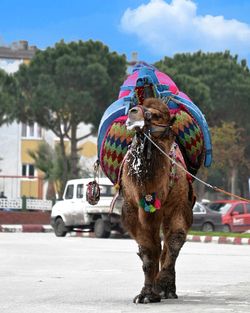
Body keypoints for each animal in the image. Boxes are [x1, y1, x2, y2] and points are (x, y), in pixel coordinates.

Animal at [121, 97, 195, 302]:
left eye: (157, 115)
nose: (133, 112)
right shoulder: (133, 209)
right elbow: (147, 249)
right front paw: (146, 294)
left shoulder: (178, 204)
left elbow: (175, 239)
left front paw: (162, 287)